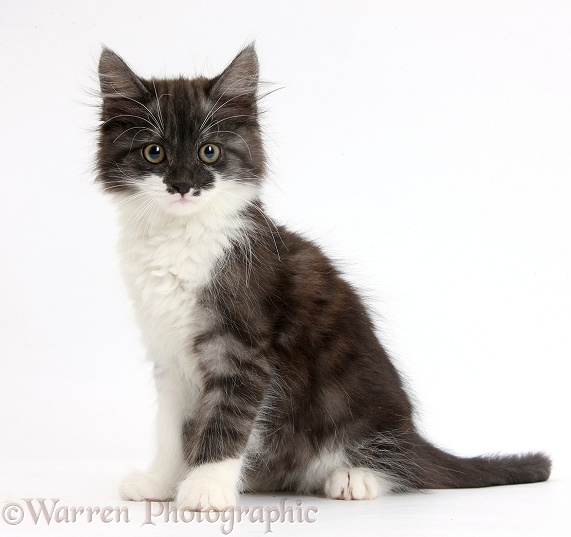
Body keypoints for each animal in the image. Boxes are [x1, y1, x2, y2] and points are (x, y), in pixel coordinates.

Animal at [96, 45, 552, 506]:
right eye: (155, 153)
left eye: (209, 152)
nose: (183, 186)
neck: (177, 237)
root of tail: (412, 436)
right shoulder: (169, 354)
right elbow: (170, 427)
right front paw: (161, 481)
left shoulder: (243, 347)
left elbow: (228, 419)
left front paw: (206, 488)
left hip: (358, 399)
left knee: (402, 466)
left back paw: (355, 477)